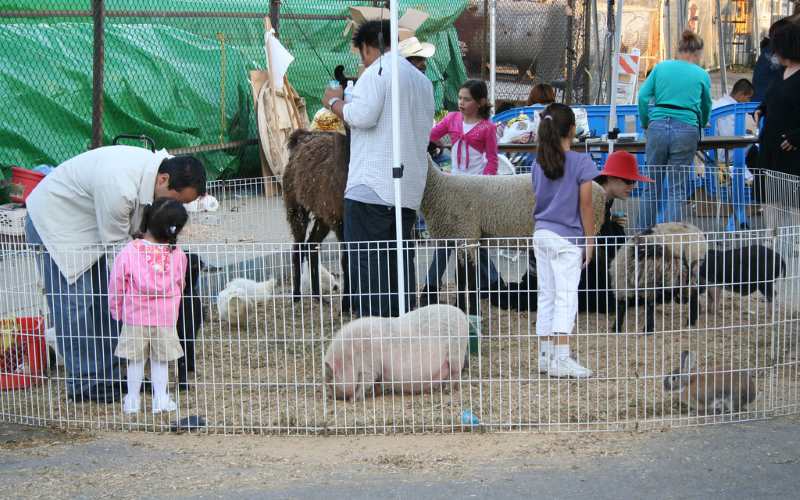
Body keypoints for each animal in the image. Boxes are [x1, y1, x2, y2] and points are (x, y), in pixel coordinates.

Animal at [324, 302, 472, 400]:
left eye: (331, 381)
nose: (330, 397)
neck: (349, 356)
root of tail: (462, 315)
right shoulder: (378, 369)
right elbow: (377, 382)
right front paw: (377, 394)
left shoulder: (369, 367)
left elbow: (364, 384)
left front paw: (353, 400)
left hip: (456, 353)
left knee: (455, 374)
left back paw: (448, 390)